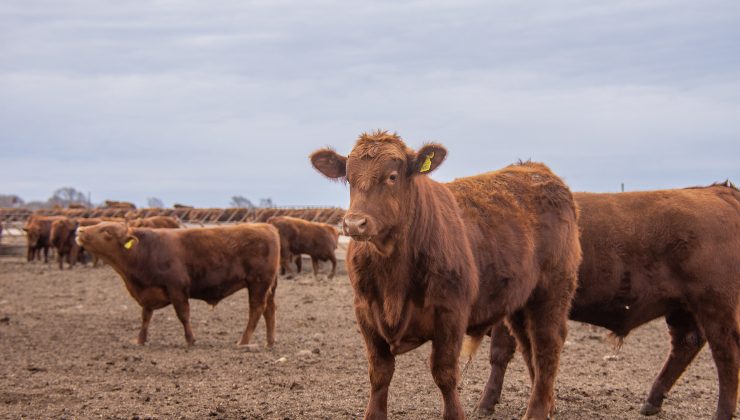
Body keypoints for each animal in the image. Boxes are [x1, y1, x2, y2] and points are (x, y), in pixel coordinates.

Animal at [76, 223, 280, 348]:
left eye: (106, 232)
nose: (80, 230)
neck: (145, 251)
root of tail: (267, 227)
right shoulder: (149, 293)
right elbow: (145, 317)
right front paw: (140, 340)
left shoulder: (177, 288)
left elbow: (183, 315)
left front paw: (190, 340)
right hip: (268, 286)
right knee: (269, 310)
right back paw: (269, 342)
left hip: (258, 283)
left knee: (256, 309)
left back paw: (243, 342)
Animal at [310, 130, 580, 418]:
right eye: (349, 179)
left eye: (392, 176)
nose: (354, 223)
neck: (393, 277)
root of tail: (537, 170)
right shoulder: (366, 312)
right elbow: (380, 372)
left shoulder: (450, 315)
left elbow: (444, 373)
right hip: (520, 301)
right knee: (529, 347)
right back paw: (547, 405)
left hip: (552, 290)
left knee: (546, 346)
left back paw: (537, 410)